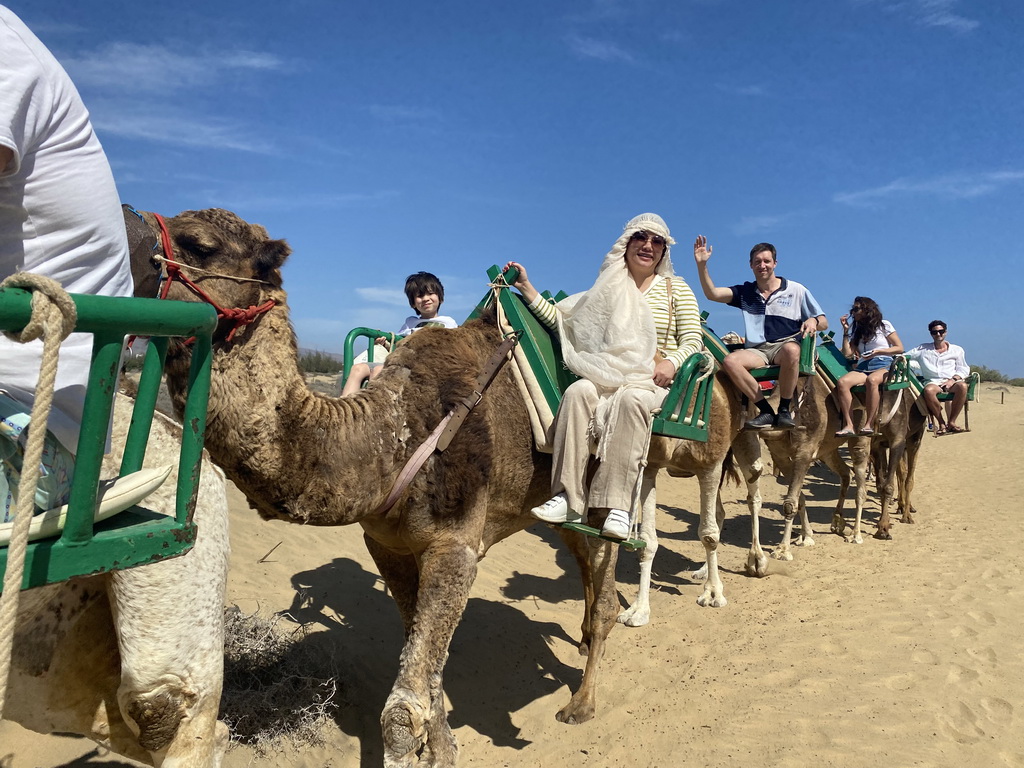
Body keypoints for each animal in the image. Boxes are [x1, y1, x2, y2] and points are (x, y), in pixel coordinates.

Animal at [148, 205, 765, 768]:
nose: (137, 249)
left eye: (199, 245)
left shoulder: (456, 546)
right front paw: (444, 749)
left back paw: (582, 703)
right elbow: (426, 673)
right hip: (564, 506)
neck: (393, 435)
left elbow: (401, 711)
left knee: (608, 581)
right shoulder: (388, 546)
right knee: (588, 576)